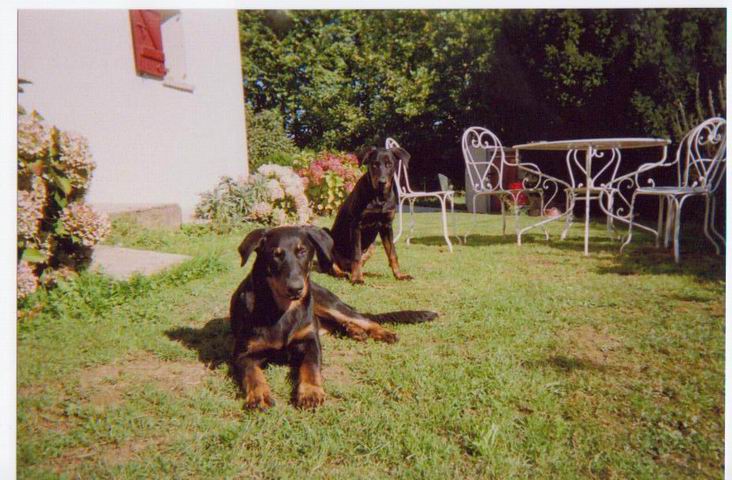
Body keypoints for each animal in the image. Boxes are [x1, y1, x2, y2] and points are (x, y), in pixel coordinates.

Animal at [230, 225, 434, 408]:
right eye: (276, 255)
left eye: (302, 251)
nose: (296, 289)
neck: (282, 310)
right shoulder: (243, 354)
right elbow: (252, 374)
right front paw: (259, 395)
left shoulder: (310, 342)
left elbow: (310, 367)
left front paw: (310, 392)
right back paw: (355, 331)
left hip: (328, 303)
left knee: (364, 319)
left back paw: (381, 332)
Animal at [328, 144, 414, 284]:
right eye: (374, 164)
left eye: (389, 164)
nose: (382, 182)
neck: (379, 198)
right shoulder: (356, 225)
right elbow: (356, 255)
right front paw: (357, 278)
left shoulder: (386, 225)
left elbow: (392, 253)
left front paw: (400, 275)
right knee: (333, 266)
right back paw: (344, 274)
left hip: (372, 246)